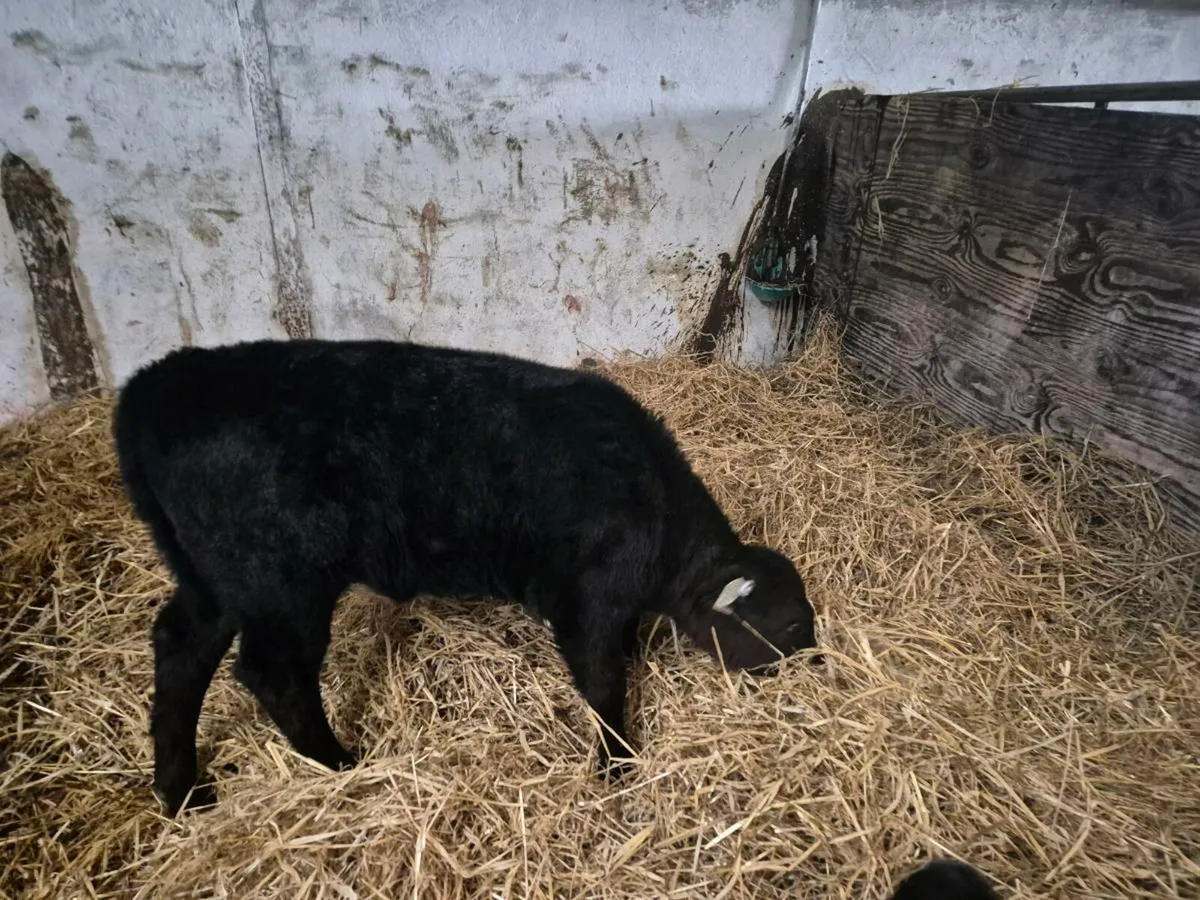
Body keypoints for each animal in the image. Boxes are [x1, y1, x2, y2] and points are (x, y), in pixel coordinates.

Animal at [112, 338, 818, 816]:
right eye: (789, 625)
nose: (816, 664)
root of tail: (153, 388)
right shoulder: (584, 602)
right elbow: (605, 685)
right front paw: (615, 766)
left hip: (214, 578)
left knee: (180, 647)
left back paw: (181, 790)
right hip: (281, 581)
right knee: (274, 674)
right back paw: (341, 763)